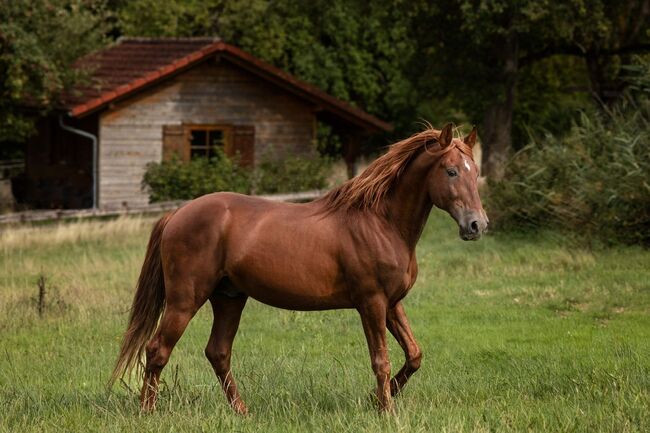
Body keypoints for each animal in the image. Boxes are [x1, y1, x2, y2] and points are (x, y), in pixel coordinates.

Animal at [110, 121, 486, 412]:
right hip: (185, 300)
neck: (381, 222)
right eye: (451, 171)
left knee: (217, 352)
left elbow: (414, 354)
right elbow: (381, 360)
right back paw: (147, 411)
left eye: (476, 173)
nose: (477, 225)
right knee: (157, 349)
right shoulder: (372, 303)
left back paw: (242, 411)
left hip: (229, 298)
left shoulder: (392, 303)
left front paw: (377, 399)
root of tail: (178, 214)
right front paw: (386, 411)